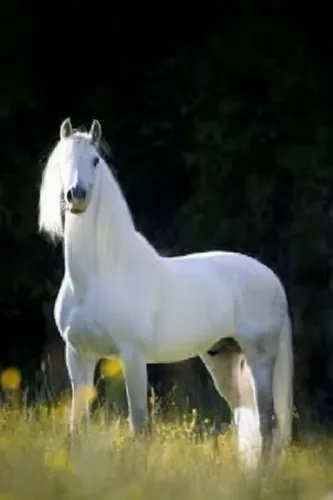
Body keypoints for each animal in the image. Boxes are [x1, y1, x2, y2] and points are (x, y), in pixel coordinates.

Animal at [39, 119, 292, 470]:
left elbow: (140, 426)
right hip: (222, 358)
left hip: (260, 359)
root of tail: (272, 278)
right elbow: (78, 424)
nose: (76, 195)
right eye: (63, 159)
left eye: (96, 160)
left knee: (268, 421)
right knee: (245, 414)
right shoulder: (78, 354)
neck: (98, 276)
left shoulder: (132, 357)